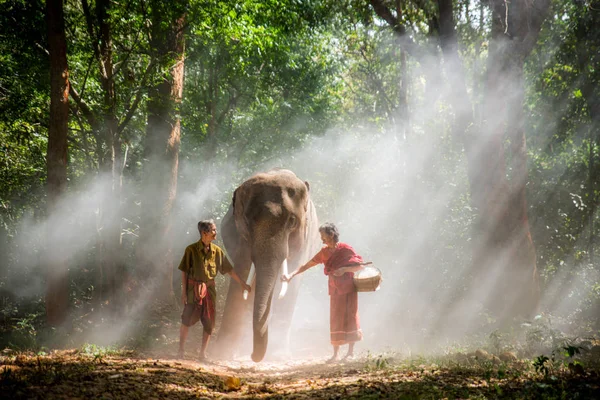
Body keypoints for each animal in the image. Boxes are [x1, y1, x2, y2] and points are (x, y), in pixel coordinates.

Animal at [214, 169, 318, 362]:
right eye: (248, 220)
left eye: (292, 221)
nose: (253, 356)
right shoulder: (242, 238)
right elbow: (243, 272)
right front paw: (222, 354)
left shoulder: (304, 241)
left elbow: (292, 281)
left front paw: (279, 356)